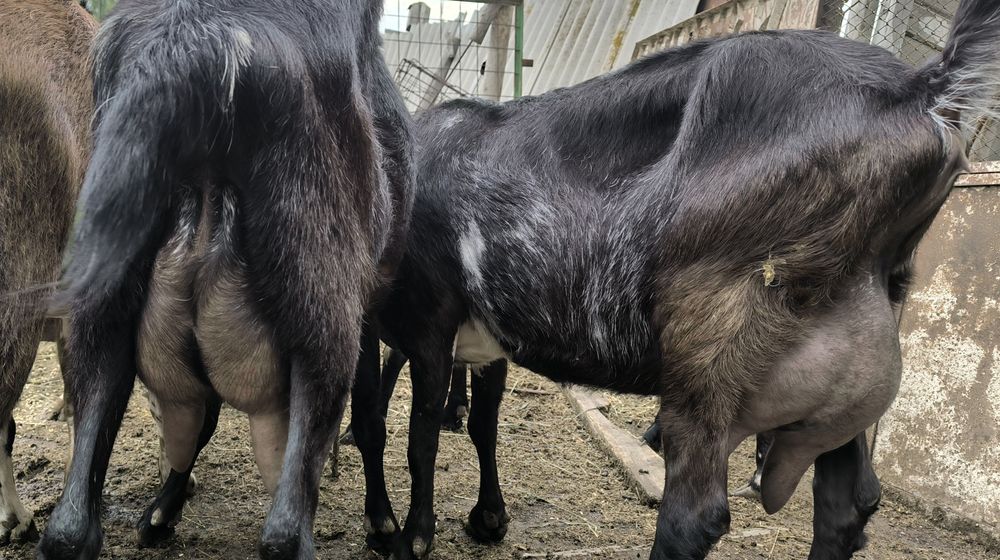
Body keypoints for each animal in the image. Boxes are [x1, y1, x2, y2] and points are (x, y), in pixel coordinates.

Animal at [37, 1, 413, 558]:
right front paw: (383, 523)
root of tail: (192, 43)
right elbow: (369, 419)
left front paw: (162, 510)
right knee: (284, 532)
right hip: (323, 327)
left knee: (68, 528)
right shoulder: (366, 305)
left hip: (98, 316)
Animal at [352, 1, 1000, 558]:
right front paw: (481, 519)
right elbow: (467, 424)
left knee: (694, 515)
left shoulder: (430, 323)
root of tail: (922, 92)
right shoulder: (479, 340)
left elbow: (410, 432)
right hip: (846, 352)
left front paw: (407, 535)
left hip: (710, 341)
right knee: (848, 503)